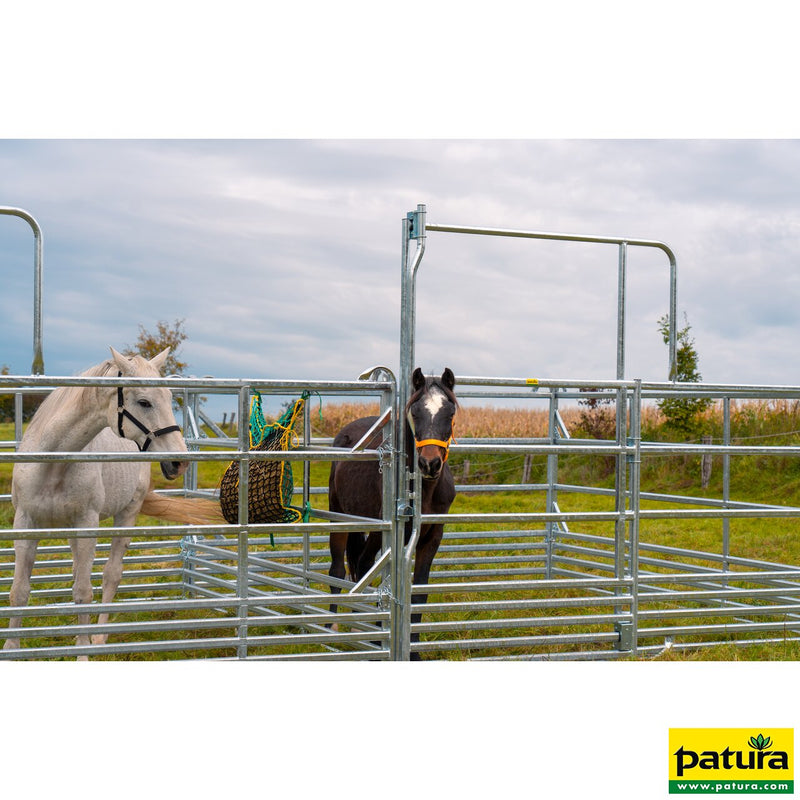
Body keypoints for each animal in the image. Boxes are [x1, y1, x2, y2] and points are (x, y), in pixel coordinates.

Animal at [3, 346, 222, 660]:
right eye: (144, 401)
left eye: (169, 397)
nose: (179, 463)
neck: (53, 462)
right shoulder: (26, 523)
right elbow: (19, 590)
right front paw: (12, 648)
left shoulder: (87, 524)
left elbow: (83, 592)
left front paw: (82, 652)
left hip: (126, 514)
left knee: (111, 575)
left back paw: (99, 637)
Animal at [330, 366, 456, 660]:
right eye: (415, 412)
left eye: (450, 412)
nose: (429, 464)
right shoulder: (388, 531)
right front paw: (381, 638)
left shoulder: (433, 536)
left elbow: (418, 593)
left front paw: (415, 650)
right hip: (341, 516)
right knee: (342, 569)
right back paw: (333, 627)